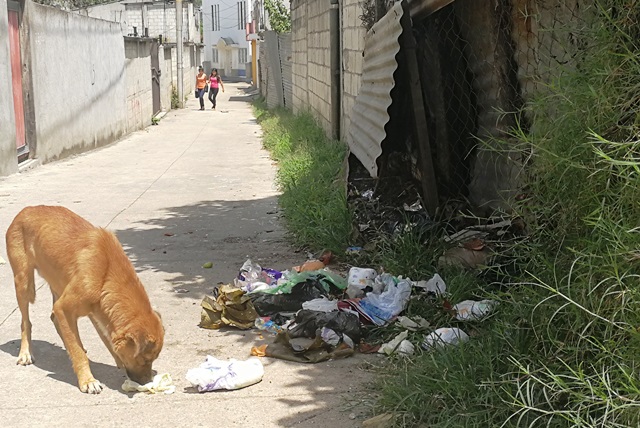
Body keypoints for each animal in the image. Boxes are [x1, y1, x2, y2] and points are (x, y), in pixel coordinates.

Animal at [5, 206, 165, 392]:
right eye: (145, 359)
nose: (147, 382)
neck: (106, 273)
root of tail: (26, 210)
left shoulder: (97, 311)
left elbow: (104, 340)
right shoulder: (66, 308)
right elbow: (79, 352)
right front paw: (87, 380)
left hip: (59, 284)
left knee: (55, 319)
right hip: (24, 283)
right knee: (26, 322)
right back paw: (25, 353)